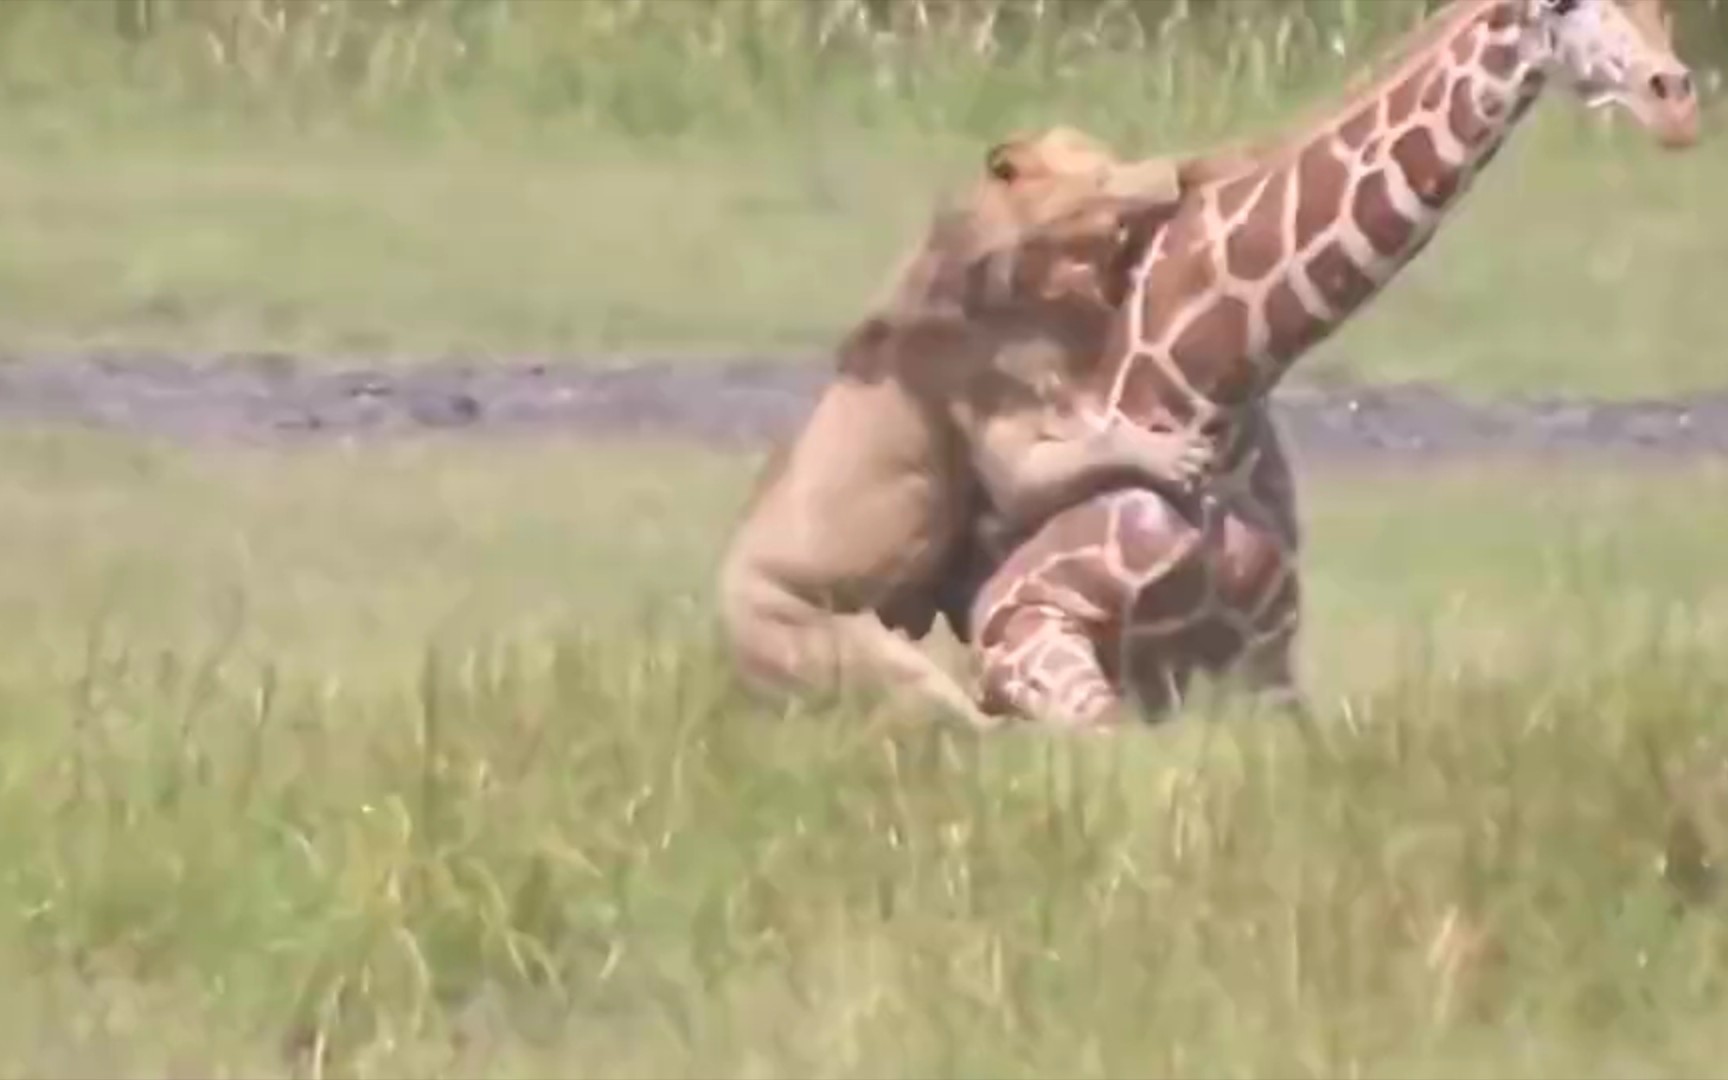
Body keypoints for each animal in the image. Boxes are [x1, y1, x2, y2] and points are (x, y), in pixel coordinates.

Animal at [960, 0, 1700, 729]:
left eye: (1665, 6)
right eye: (1561, 8)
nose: (1676, 103)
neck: (1215, 386)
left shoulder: (1264, 653)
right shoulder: (1016, 620)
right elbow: (1100, 728)